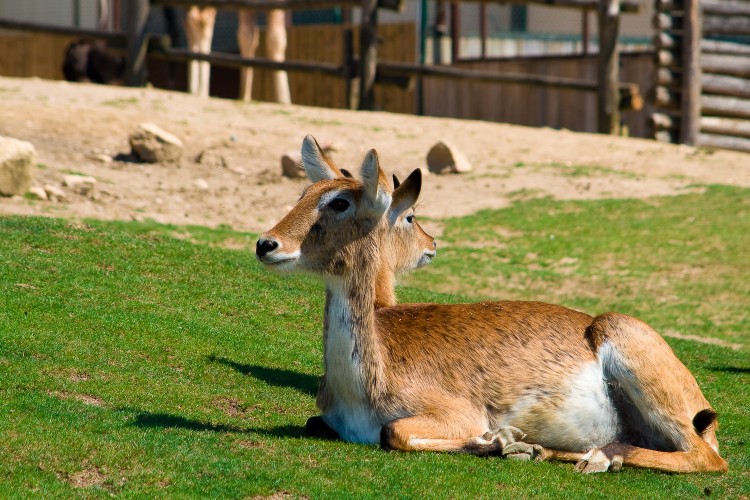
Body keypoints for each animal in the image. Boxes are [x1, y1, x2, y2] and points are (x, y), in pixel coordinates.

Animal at [258, 136, 728, 472]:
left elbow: (393, 433)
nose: (266, 243)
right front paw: (512, 444)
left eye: (339, 201)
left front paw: (500, 440)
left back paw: (595, 456)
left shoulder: (456, 412)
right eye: (304, 193)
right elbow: (318, 423)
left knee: (707, 459)